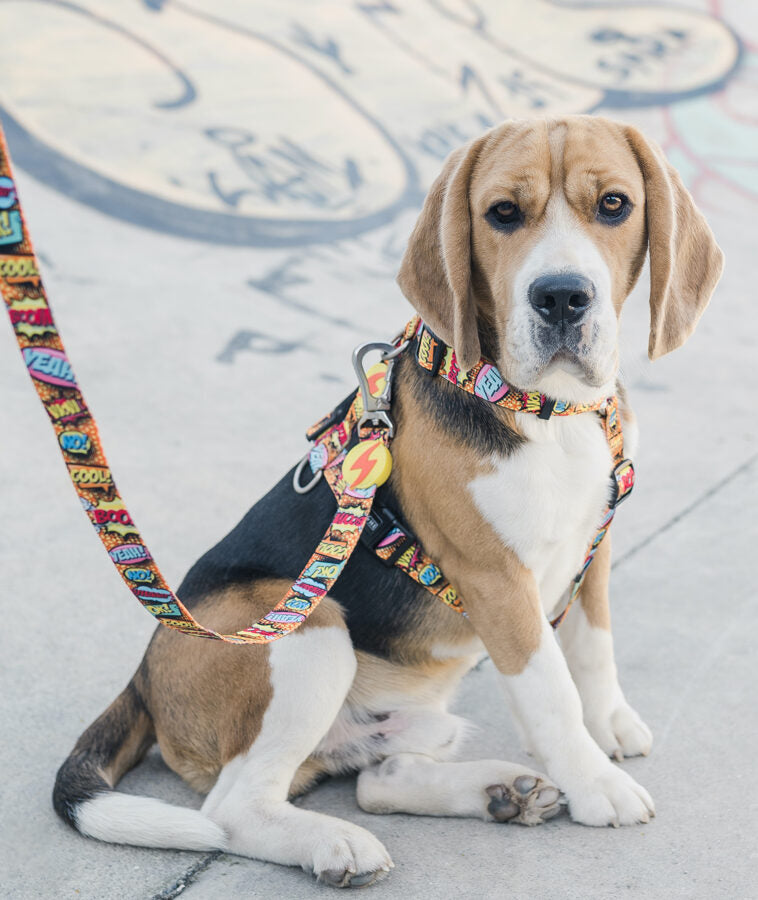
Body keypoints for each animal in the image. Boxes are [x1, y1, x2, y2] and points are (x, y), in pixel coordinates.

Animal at [53, 116, 724, 888]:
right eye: (502, 214)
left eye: (614, 205)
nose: (561, 297)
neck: (548, 409)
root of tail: (144, 675)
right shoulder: (497, 582)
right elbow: (549, 689)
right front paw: (597, 785)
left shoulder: (598, 536)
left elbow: (594, 643)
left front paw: (609, 722)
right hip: (309, 635)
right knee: (234, 808)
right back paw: (336, 845)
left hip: (414, 712)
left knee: (377, 778)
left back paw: (499, 791)